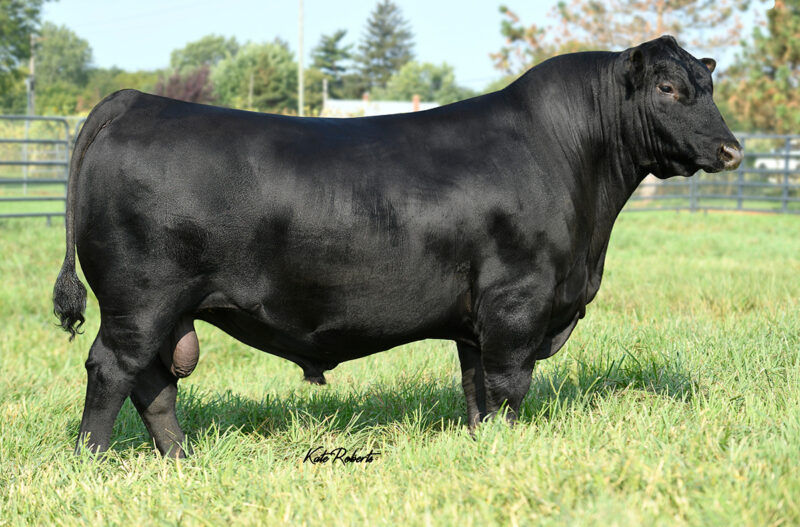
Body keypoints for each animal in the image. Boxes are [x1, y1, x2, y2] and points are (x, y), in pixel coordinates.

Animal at [53, 36, 742, 458]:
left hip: (163, 308)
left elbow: (476, 390)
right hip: (141, 298)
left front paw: (483, 448)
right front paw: (508, 450)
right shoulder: (518, 301)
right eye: (667, 90)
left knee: (154, 383)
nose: (731, 149)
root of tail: (134, 100)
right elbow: (509, 387)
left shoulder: (477, 317)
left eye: (706, 85)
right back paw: (94, 460)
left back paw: (182, 459)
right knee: (112, 369)